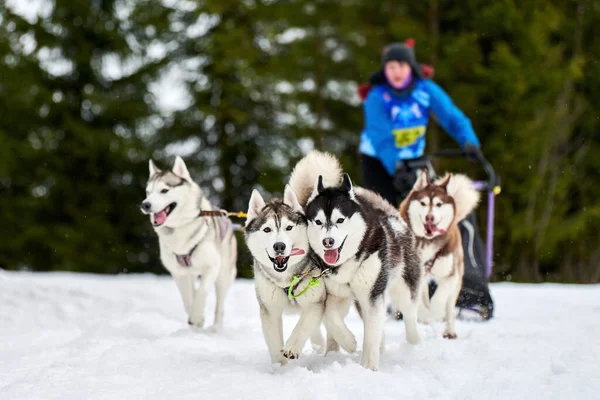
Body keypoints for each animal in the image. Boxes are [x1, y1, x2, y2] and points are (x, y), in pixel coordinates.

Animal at [141, 157, 237, 332]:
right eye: (148, 192)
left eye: (164, 190)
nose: (145, 205)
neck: (180, 228)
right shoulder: (178, 272)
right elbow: (188, 297)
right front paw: (193, 316)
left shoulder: (212, 266)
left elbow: (202, 292)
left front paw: (197, 317)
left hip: (224, 275)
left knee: (219, 304)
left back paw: (216, 328)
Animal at [244, 152, 356, 366]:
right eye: (267, 229)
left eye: (289, 227)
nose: (279, 246)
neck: (287, 280)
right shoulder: (269, 310)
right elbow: (274, 342)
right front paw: (280, 366)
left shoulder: (315, 303)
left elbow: (303, 326)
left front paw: (292, 348)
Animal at [304, 155, 422, 370]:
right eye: (318, 222)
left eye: (340, 220)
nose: (327, 242)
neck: (347, 265)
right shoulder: (335, 293)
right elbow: (330, 315)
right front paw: (349, 342)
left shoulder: (373, 294)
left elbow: (371, 335)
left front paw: (369, 367)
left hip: (404, 290)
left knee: (409, 318)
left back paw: (414, 345)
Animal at [400, 169, 480, 338]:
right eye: (423, 203)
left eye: (438, 204)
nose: (429, 217)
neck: (426, 243)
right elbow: (418, 302)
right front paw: (424, 315)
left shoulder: (450, 276)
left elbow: (439, 298)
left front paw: (435, 313)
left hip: (457, 279)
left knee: (449, 307)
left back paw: (449, 330)